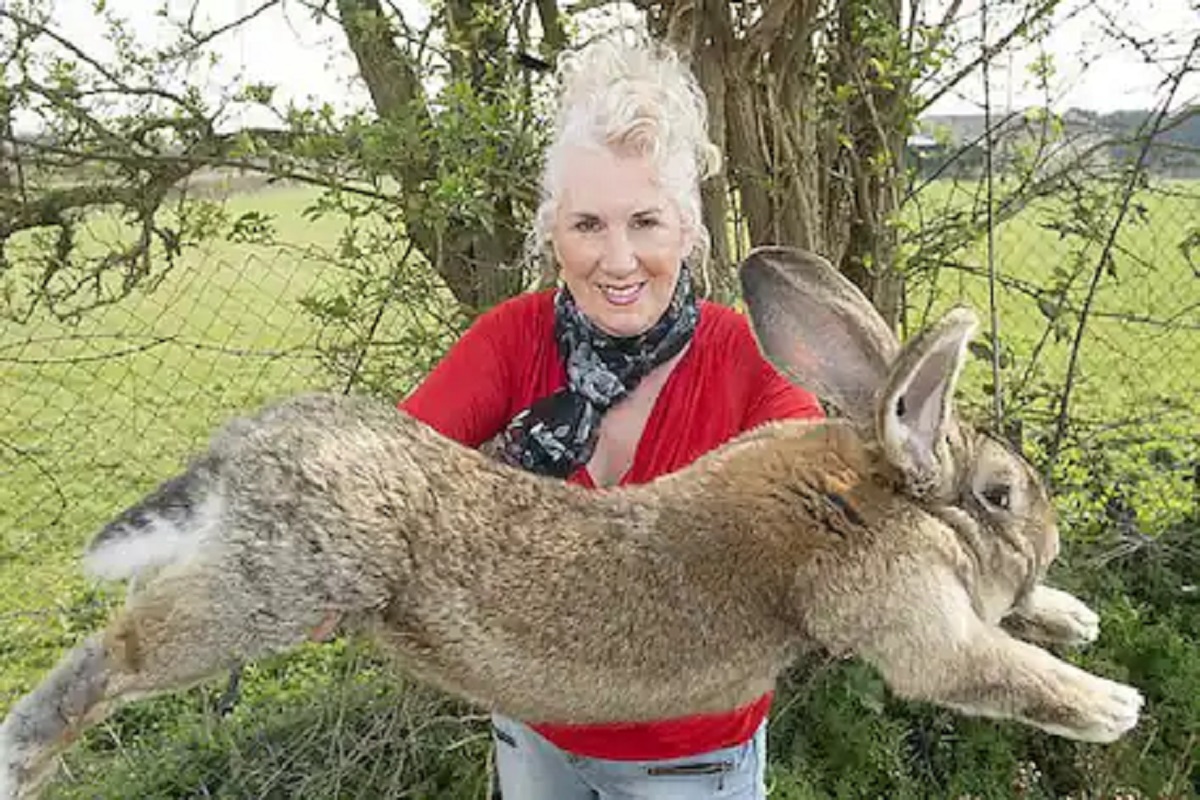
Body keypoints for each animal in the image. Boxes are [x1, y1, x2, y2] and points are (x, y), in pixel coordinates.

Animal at [0, 246, 1143, 799]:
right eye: (1001, 494)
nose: (1047, 539)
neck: (874, 488)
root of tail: (244, 451)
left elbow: (1012, 628)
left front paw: (1074, 616)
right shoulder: (909, 617)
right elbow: (987, 668)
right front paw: (1111, 703)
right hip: (276, 588)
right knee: (119, 651)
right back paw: (24, 754)